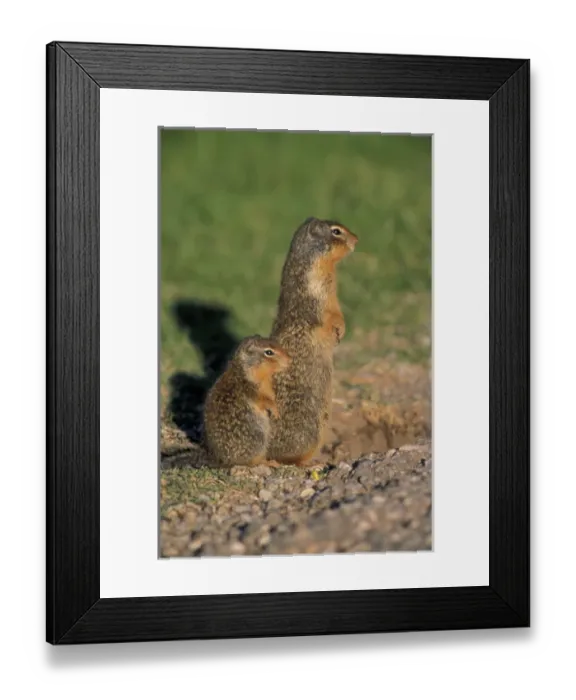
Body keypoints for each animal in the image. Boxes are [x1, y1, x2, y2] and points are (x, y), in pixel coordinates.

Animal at [161, 335, 291, 469]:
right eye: (269, 352)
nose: (290, 360)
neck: (244, 370)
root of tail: (216, 458)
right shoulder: (252, 391)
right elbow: (264, 401)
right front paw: (275, 410)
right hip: (258, 440)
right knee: (251, 462)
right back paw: (269, 462)